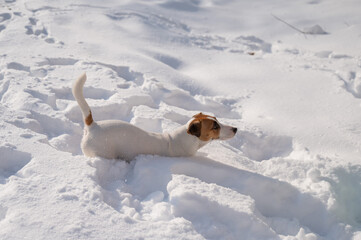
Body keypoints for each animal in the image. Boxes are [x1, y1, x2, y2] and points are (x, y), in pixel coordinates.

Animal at [72, 72, 236, 160]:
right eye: (215, 126)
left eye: (217, 120)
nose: (235, 129)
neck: (186, 139)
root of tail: (93, 125)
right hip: (102, 152)